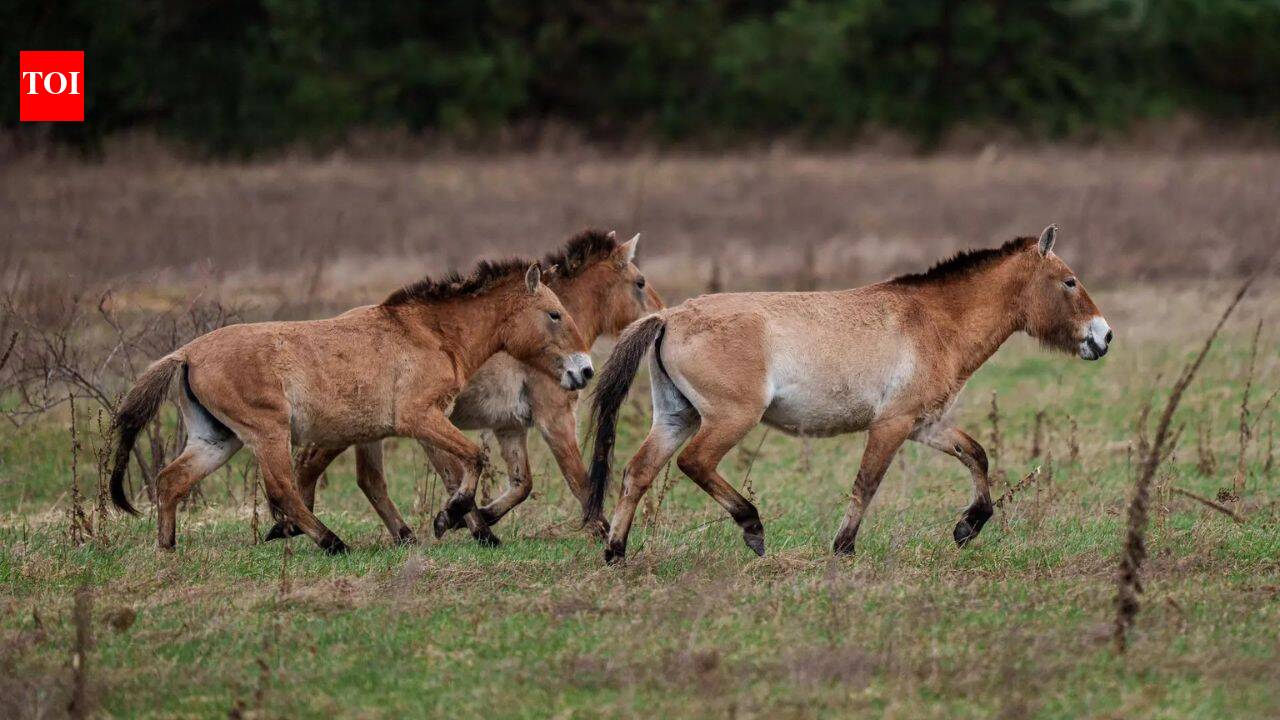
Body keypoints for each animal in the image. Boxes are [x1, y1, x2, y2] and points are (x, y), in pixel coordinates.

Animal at [108, 261, 592, 554]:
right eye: (554, 314)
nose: (584, 370)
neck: (430, 333)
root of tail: (187, 353)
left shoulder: (401, 427)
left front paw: (452, 522)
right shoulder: (419, 418)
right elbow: (473, 459)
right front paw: (448, 517)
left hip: (218, 440)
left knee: (171, 481)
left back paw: (168, 548)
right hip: (267, 433)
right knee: (282, 490)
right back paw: (332, 542)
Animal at [263, 229, 664, 546]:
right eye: (641, 282)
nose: (663, 317)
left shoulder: (509, 427)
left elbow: (521, 484)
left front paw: (476, 517)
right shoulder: (555, 420)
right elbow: (579, 481)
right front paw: (602, 531)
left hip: (368, 430)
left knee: (364, 479)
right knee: (312, 466)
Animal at [585, 226, 1112, 563]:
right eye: (1069, 281)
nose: (1104, 337)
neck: (934, 321)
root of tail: (669, 316)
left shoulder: (923, 424)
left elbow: (977, 456)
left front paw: (968, 526)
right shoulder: (891, 426)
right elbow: (867, 484)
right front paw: (843, 547)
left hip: (677, 418)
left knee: (637, 473)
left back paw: (616, 553)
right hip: (728, 419)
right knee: (694, 463)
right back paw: (752, 528)